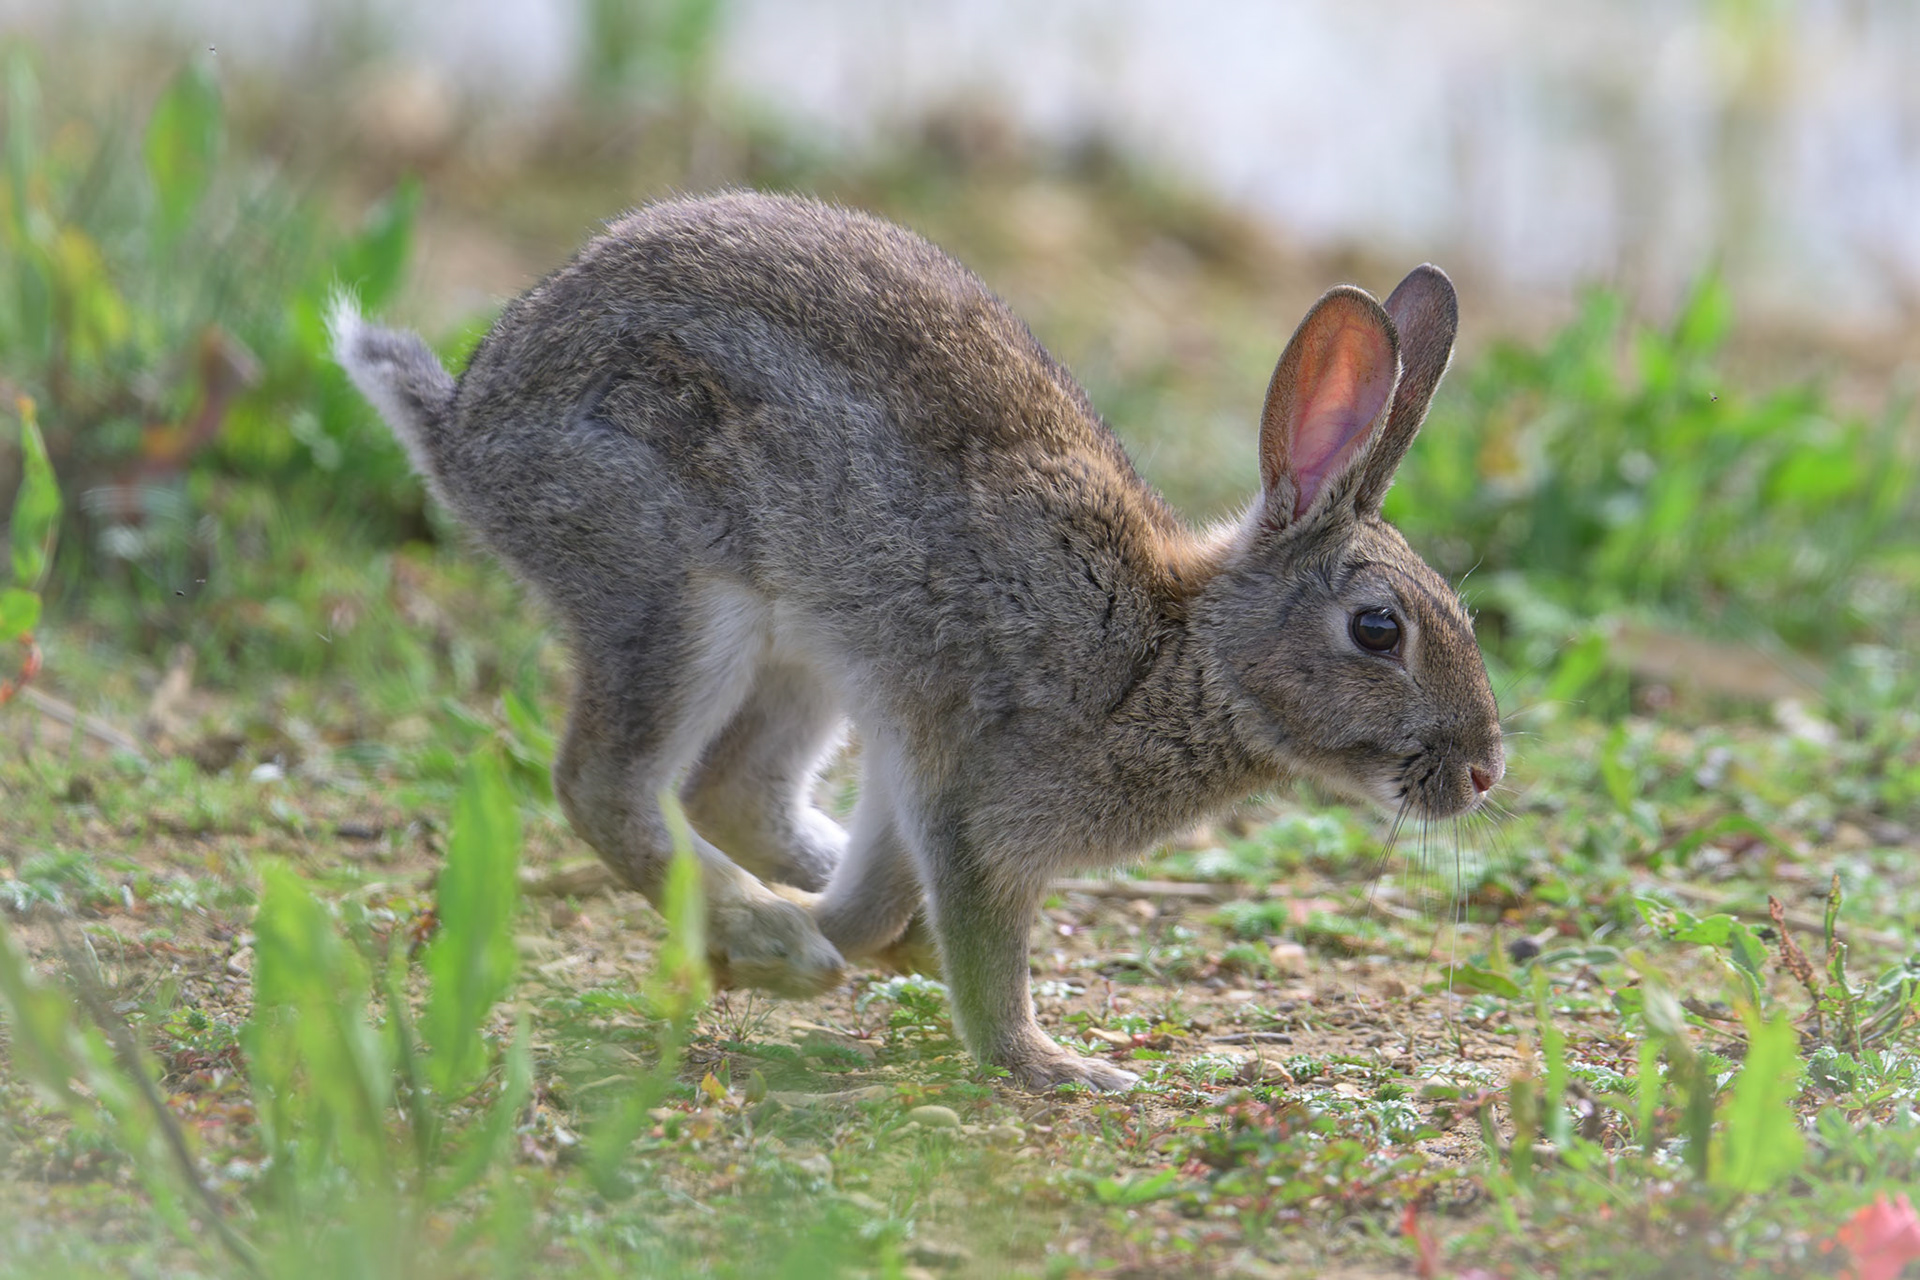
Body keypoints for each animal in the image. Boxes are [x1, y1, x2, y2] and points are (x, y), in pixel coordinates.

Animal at [331, 191, 1505, 1092]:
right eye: (1378, 629)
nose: (1486, 770)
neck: (1177, 650)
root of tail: (466, 427)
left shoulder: (913, 762)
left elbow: (880, 888)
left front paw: (815, 949)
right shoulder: (975, 800)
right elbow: (985, 946)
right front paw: (1050, 1064)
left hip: (810, 658)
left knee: (732, 791)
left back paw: (795, 931)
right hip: (675, 588)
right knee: (605, 783)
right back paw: (767, 930)